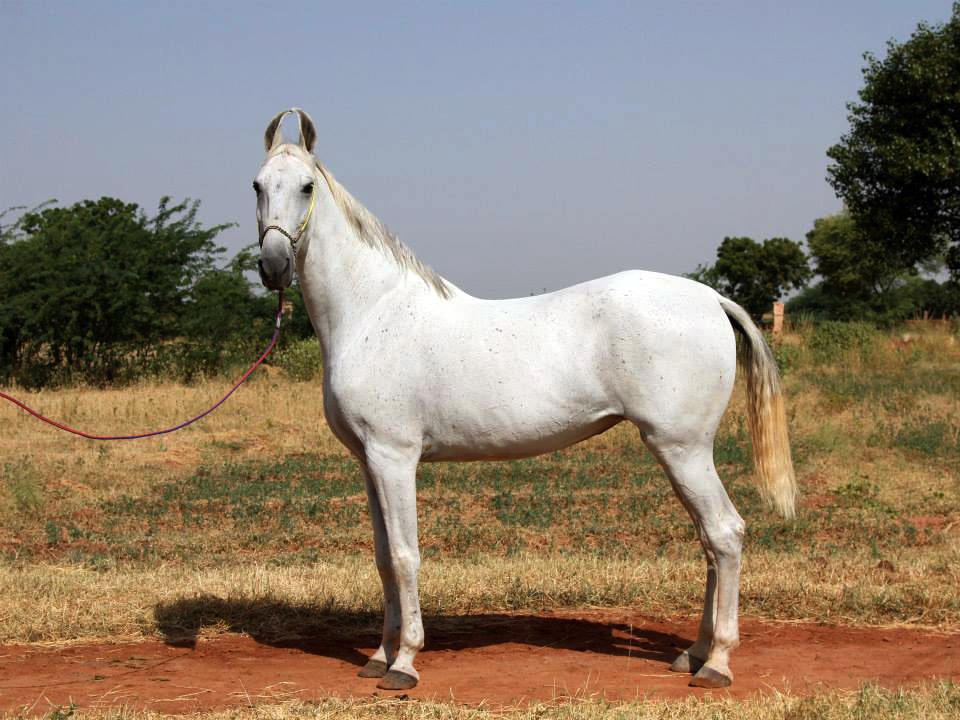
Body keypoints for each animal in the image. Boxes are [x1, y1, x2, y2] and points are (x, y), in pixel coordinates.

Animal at [253, 108, 797, 691]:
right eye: (258, 185)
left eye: (307, 186)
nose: (274, 265)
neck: (373, 312)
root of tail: (711, 299)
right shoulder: (368, 462)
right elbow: (381, 558)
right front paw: (378, 655)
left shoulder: (395, 458)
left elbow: (403, 557)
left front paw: (404, 663)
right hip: (682, 454)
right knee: (709, 543)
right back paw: (691, 654)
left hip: (683, 448)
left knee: (725, 534)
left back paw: (716, 662)